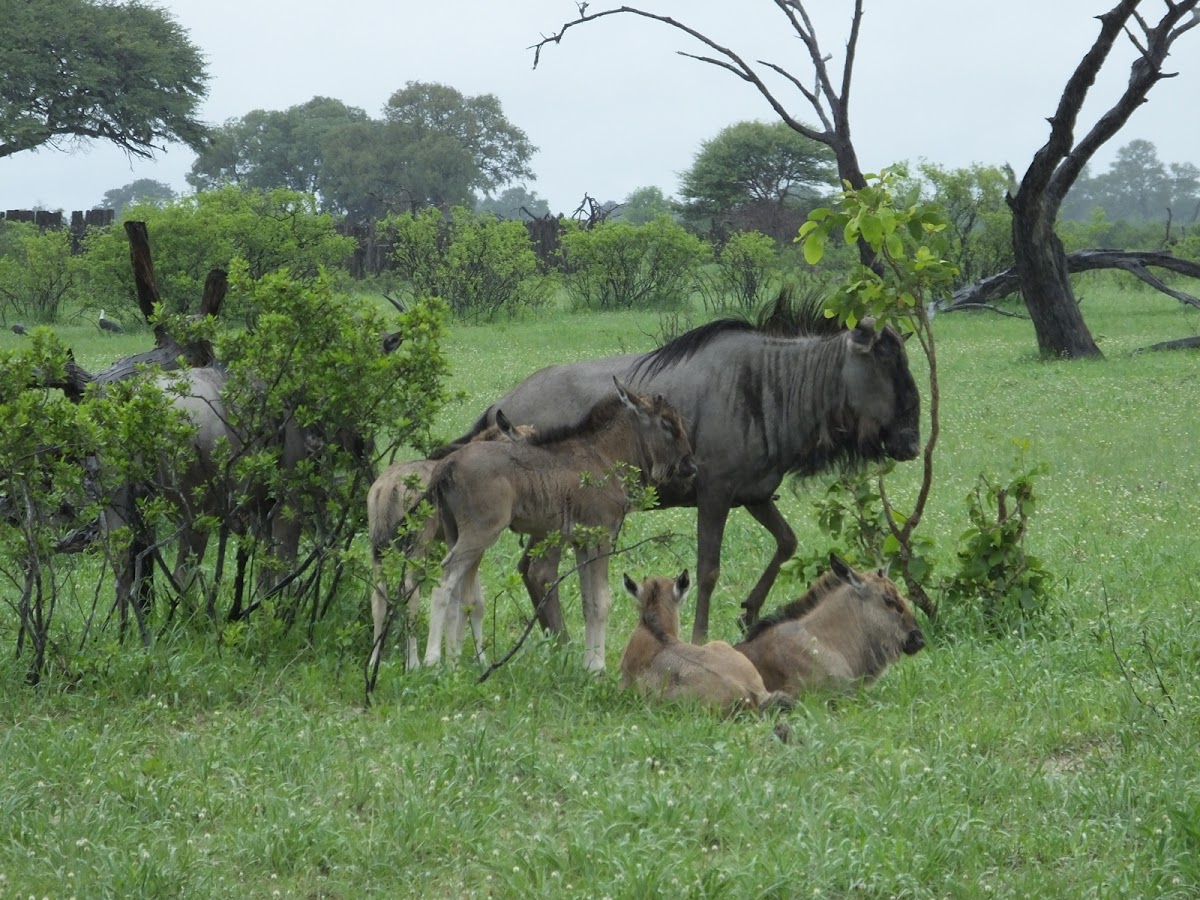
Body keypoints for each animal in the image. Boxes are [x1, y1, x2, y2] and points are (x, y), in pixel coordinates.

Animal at [364, 408, 535, 672]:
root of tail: (385, 489)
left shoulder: (453, 541)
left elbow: (460, 599)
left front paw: (457, 655)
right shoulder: (476, 544)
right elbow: (472, 601)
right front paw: (470, 658)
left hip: (377, 546)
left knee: (378, 596)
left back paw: (374, 660)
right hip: (417, 542)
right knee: (411, 592)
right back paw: (413, 662)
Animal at [422, 379, 696, 672]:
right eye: (666, 423)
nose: (690, 464)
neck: (605, 457)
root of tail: (446, 466)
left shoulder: (581, 543)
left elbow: (589, 603)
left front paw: (588, 663)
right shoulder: (601, 538)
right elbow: (602, 601)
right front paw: (598, 667)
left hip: (455, 533)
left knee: (458, 594)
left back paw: (454, 661)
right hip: (479, 533)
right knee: (441, 586)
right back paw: (431, 660)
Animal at [451, 292, 916, 643]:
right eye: (885, 362)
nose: (911, 441)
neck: (771, 383)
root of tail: (501, 405)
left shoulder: (755, 495)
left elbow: (787, 542)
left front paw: (748, 612)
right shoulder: (714, 494)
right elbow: (708, 570)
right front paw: (700, 636)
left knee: (528, 569)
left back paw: (554, 639)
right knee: (537, 570)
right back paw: (562, 641)